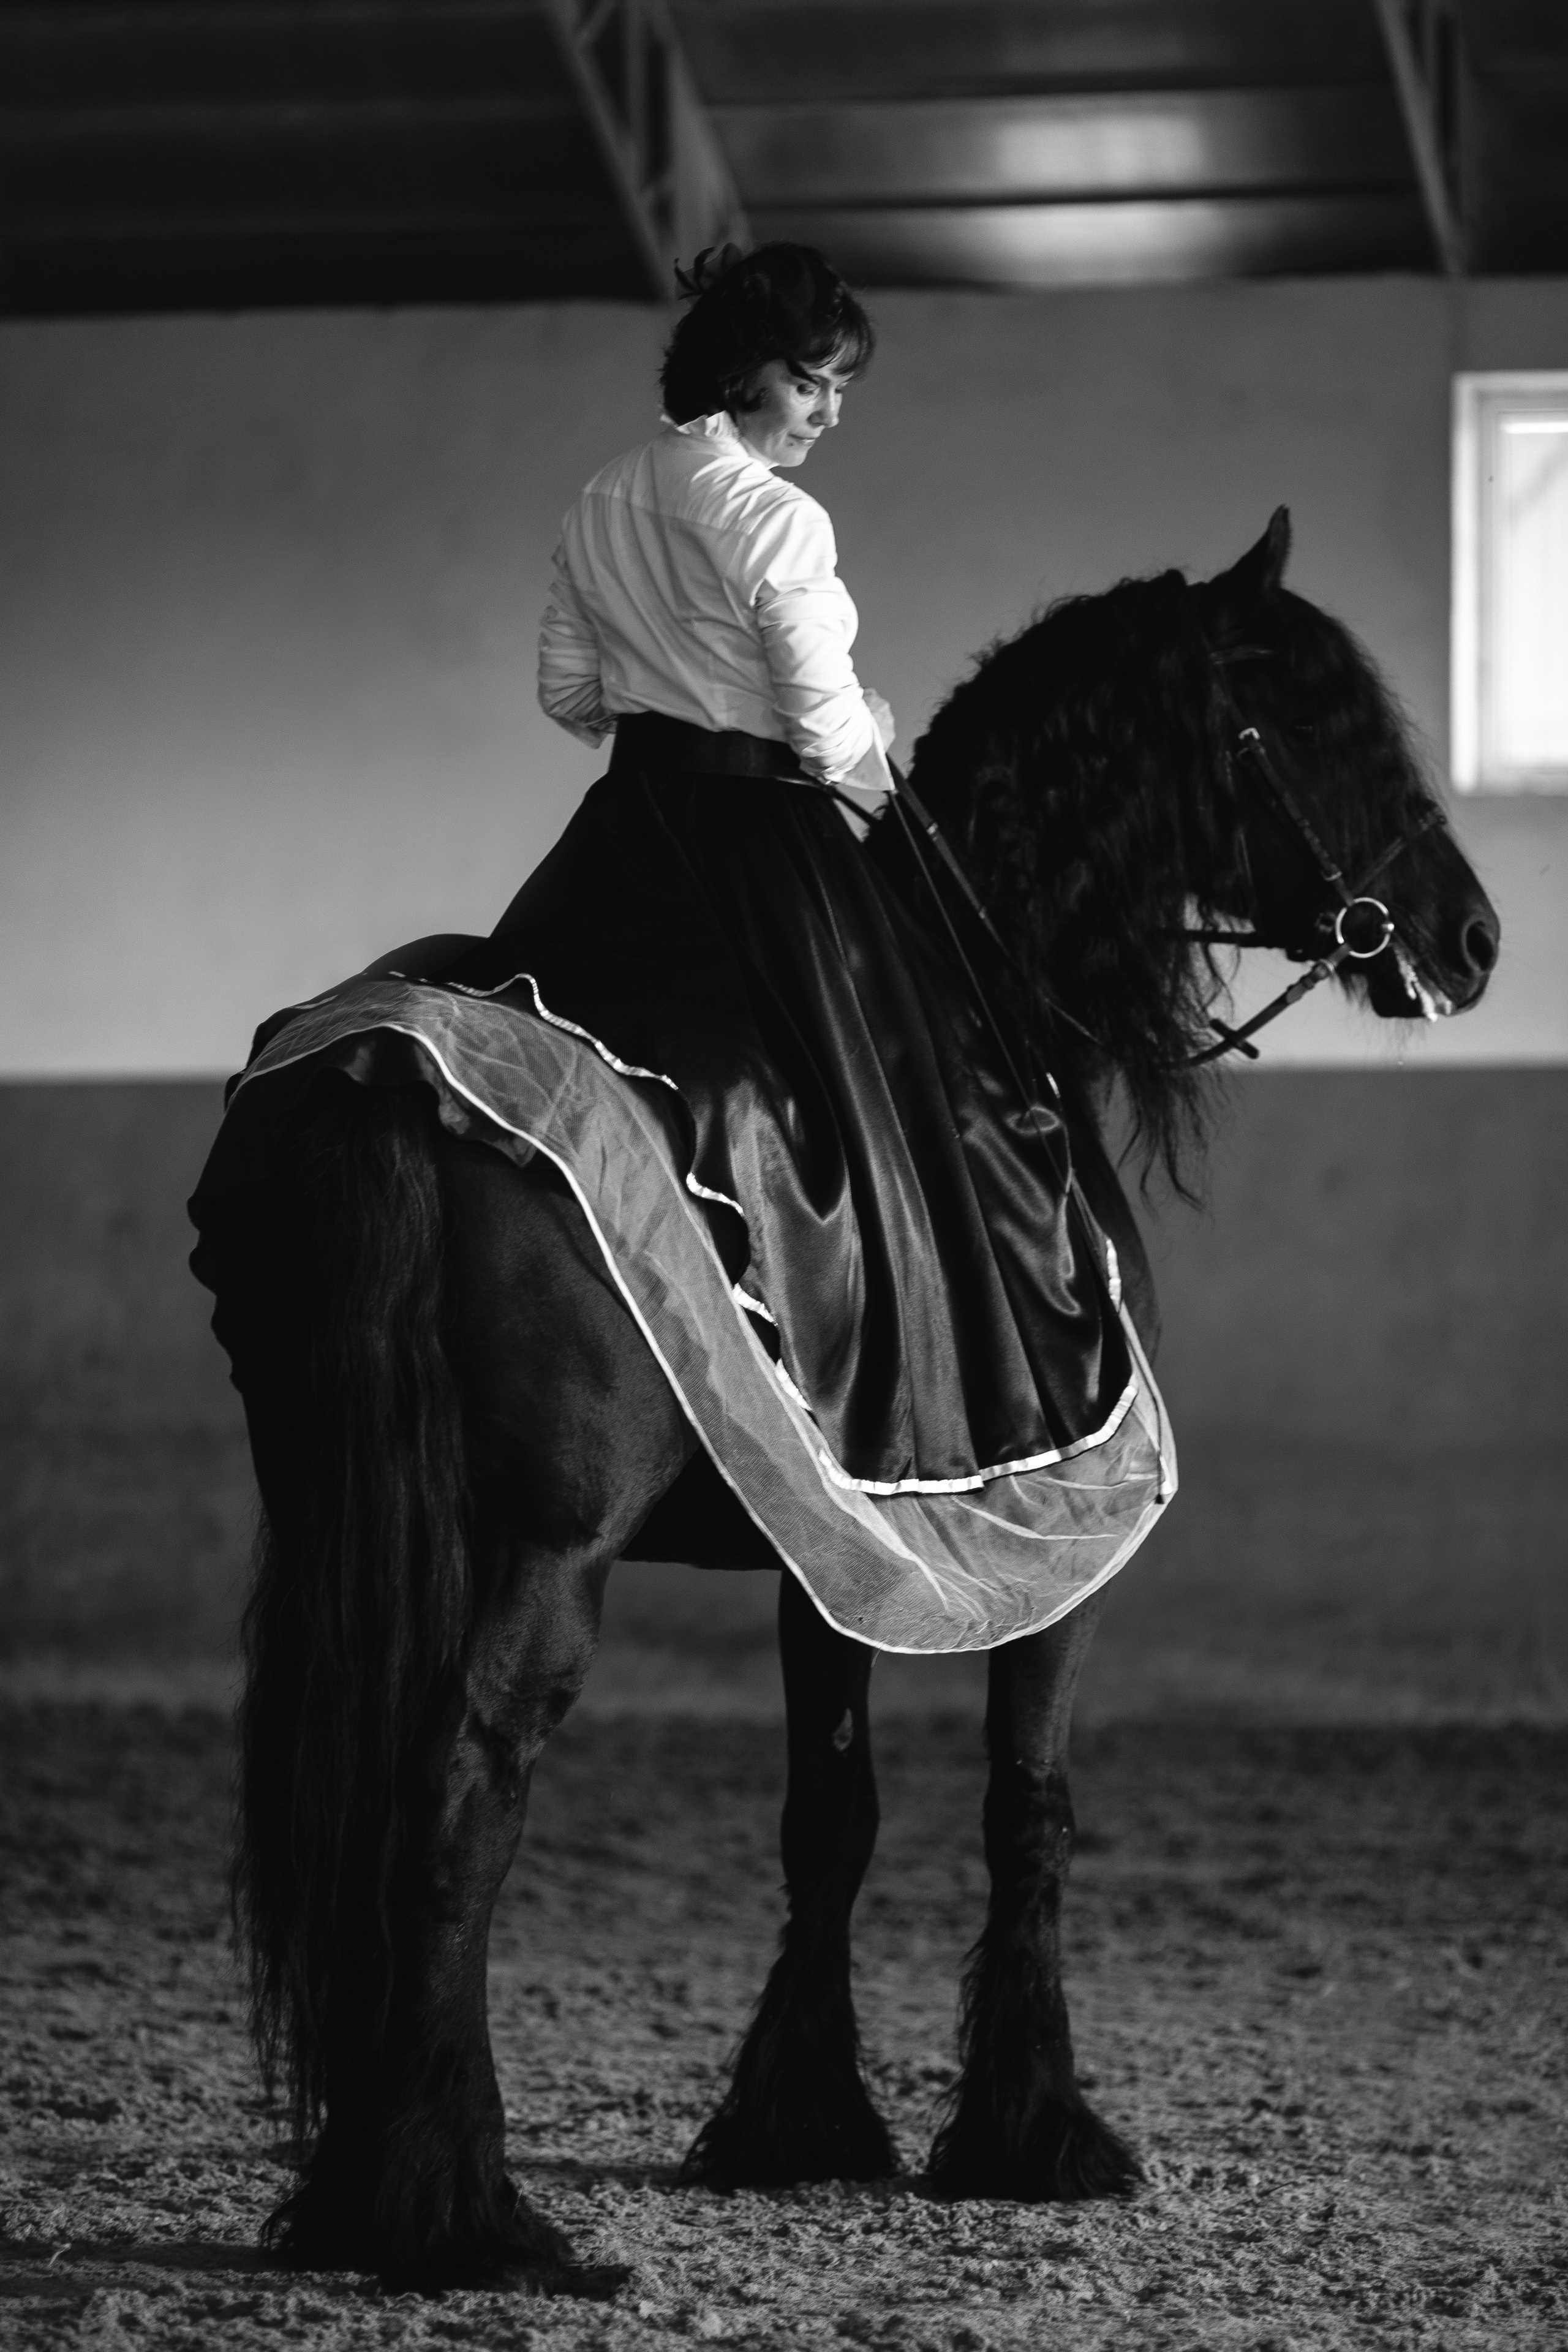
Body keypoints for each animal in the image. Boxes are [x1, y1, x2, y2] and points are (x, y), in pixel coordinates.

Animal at [192, 510, 1498, 2292]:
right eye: (1311, 723)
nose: (1473, 937)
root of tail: (381, 1074)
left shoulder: (842, 1546)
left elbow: (832, 1810)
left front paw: (797, 2122)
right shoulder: (1050, 1549)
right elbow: (1031, 1807)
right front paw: (1032, 2133)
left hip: (348, 1512)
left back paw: (359, 2185)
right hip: (543, 1548)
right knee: (463, 1786)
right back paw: (458, 2207)